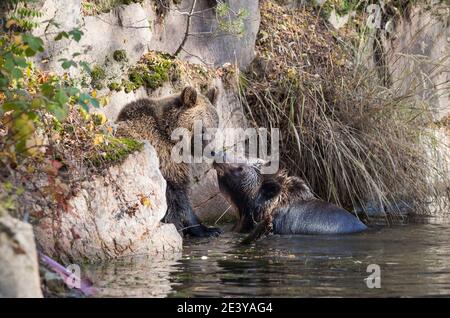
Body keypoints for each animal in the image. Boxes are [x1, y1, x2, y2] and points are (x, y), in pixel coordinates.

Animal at [116, 85, 221, 237]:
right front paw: (206, 229)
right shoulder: (165, 157)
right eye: (202, 129)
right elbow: (178, 193)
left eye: (215, 127)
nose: (211, 152)